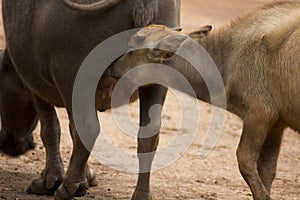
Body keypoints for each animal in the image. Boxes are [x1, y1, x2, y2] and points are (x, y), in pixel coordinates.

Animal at [1, 0, 180, 199]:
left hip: (74, 76)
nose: (8, 145)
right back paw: (142, 194)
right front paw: (86, 178)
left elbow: (50, 129)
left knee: (86, 128)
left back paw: (67, 188)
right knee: (149, 134)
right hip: (158, 78)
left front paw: (49, 182)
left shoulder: (33, 85)